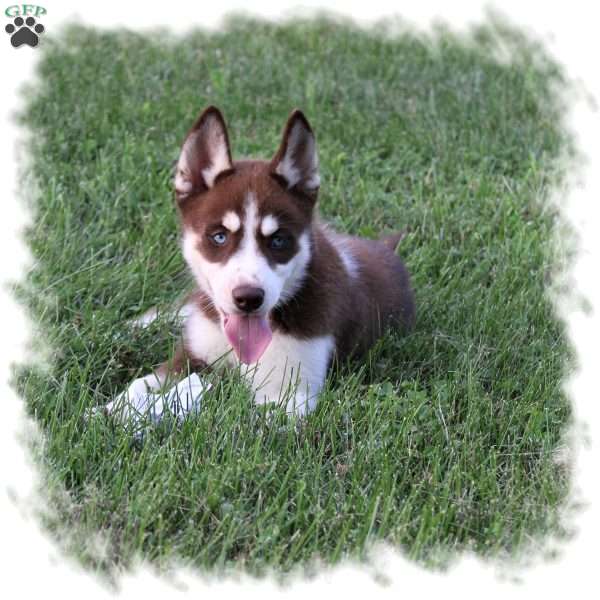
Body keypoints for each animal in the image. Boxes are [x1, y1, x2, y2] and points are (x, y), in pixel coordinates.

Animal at [110, 108, 414, 414]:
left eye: (278, 240)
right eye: (219, 237)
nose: (248, 298)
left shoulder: (290, 396)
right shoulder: (190, 357)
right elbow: (139, 384)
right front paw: (109, 411)